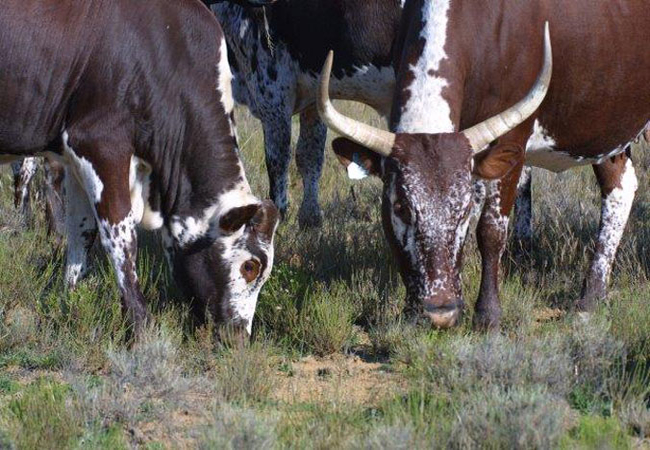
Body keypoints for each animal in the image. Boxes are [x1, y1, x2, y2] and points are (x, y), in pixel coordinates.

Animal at [0, 0, 278, 336]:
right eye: (250, 266)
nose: (238, 336)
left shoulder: (71, 156)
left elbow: (82, 230)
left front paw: (71, 298)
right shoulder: (99, 143)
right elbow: (120, 236)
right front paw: (140, 324)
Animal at [208, 0, 402, 225]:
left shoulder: (273, 97)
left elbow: (278, 162)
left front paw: (278, 216)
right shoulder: (315, 98)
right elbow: (310, 155)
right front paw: (311, 218)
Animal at [316, 0, 644, 330]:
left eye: (461, 213)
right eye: (400, 208)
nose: (440, 311)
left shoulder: (513, 139)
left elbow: (490, 231)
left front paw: (488, 314)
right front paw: (413, 312)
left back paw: (588, 299)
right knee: (620, 187)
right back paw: (594, 296)